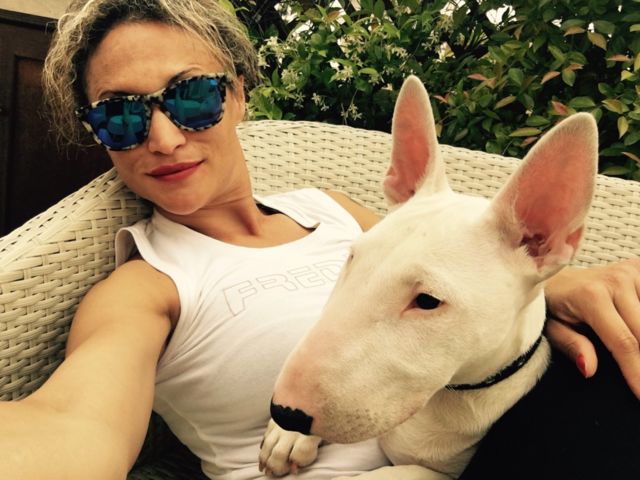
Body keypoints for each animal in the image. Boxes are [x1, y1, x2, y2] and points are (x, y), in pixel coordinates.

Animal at [259, 75, 598, 479]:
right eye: (352, 260)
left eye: (427, 301)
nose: (285, 412)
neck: (447, 396)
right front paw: (288, 438)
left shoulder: (442, 473)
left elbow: (387, 473)